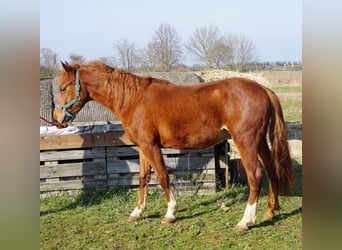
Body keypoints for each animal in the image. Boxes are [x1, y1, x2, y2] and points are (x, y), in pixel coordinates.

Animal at [53, 61, 294, 229]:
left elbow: (162, 177)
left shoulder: (151, 146)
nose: (57, 118)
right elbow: (143, 178)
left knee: (256, 176)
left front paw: (170, 213)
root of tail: (262, 89)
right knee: (271, 169)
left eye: (63, 88)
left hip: (246, 142)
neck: (134, 99)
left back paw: (246, 220)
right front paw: (138, 211)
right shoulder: (143, 147)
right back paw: (271, 210)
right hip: (259, 142)